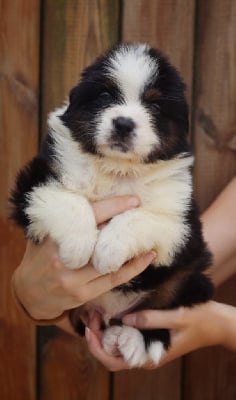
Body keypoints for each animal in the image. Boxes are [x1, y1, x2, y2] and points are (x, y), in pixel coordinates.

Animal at [10, 43, 213, 366]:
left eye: (155, 107)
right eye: (105, 96)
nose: (124, 123)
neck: (116, 169)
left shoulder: (183, 225)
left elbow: (139, 216)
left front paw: (108, 249)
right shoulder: (33, 180)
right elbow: (69, 199)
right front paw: (79, 245)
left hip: (188, 276)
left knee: (159, 309)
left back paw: (133, 339)